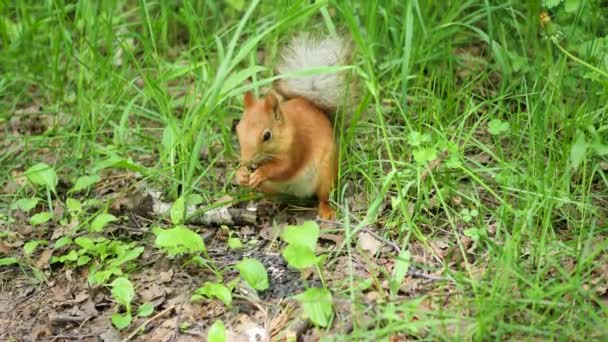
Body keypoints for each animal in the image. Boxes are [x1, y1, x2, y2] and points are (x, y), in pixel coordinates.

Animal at [234, 35, 356, 219]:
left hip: (326, 175)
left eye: (267, 135)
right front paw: (240, 174)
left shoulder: (298, 145)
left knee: (324, 197)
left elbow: (285, 168)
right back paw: (268, 202)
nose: (247, 161)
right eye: (238, 130)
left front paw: (261, 173)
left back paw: (326, 211)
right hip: (272, 188)